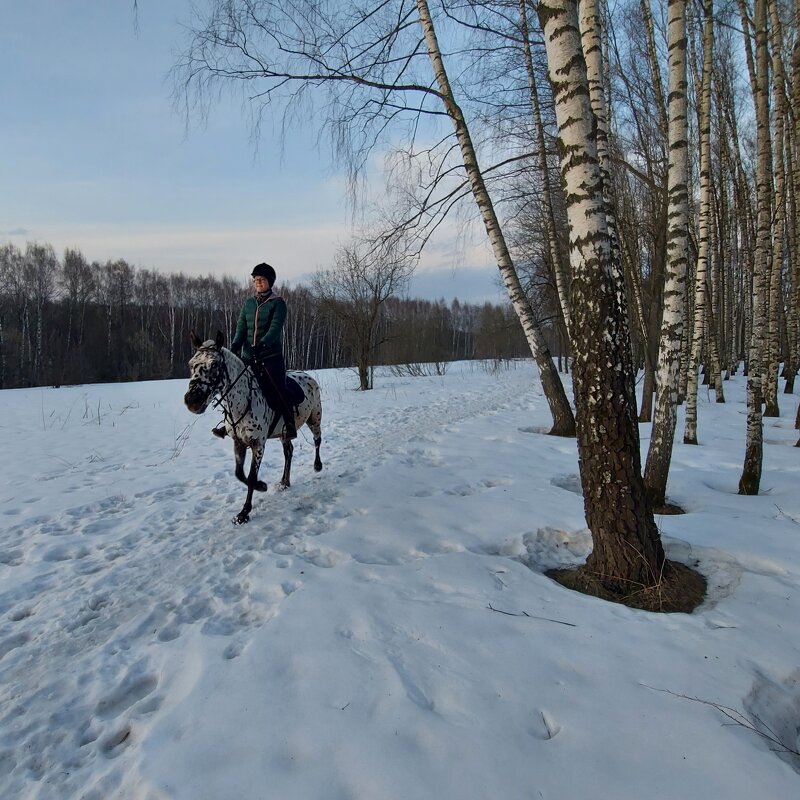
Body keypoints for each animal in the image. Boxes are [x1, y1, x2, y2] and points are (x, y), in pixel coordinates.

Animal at [186, 332, 324, 524]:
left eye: (214, 364)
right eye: (191, 364)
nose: (192, 401)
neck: (243, 401)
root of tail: (308, 376)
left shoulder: (258, 444)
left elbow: (251, 477)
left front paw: (245, 511)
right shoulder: (238, 443)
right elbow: (239, 474)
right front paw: (261, 486)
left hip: (315, 418)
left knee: (317, 440)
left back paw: (317, 465)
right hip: (285, 433)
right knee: (288, 452)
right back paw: (284, 482)